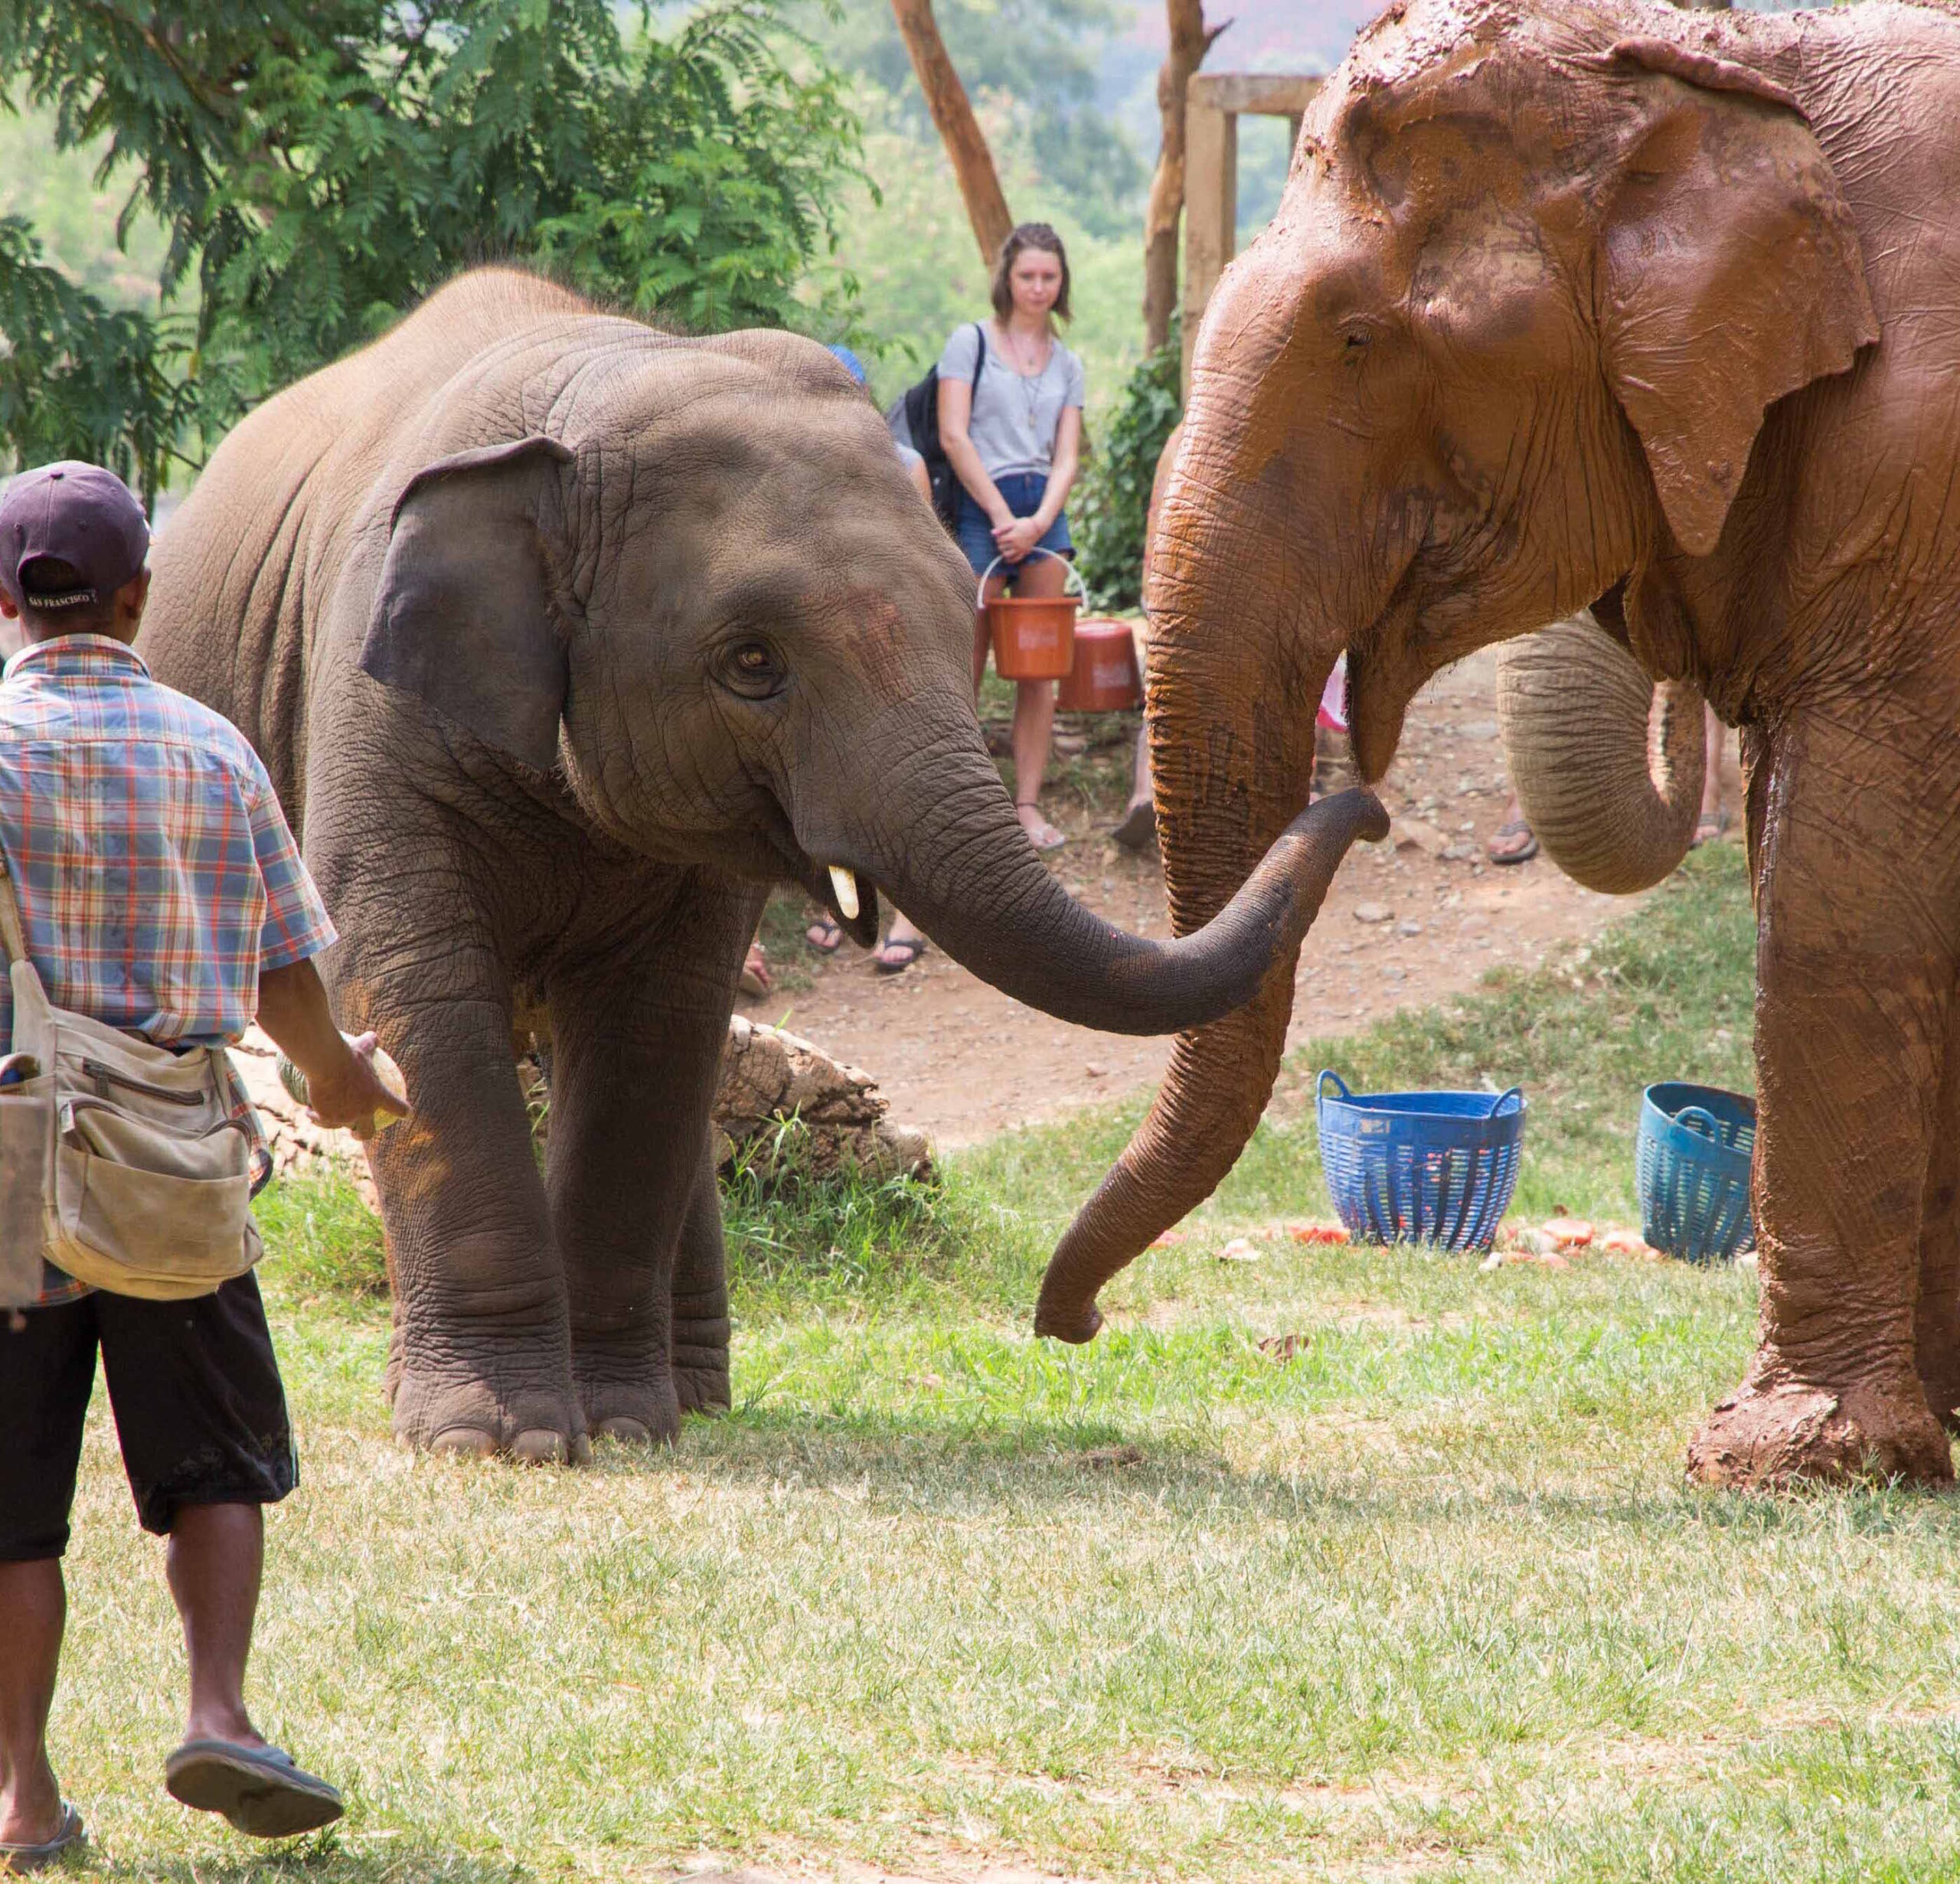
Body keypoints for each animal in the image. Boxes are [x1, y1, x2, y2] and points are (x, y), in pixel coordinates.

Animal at [138, 268, 1387, 1462]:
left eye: (972, 627)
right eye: (749, 663)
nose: (1369, 806)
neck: (581, 398)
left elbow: (656, 1027)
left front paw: (623, 1426)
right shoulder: (369, 705)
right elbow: (416, 1002)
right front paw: (504, 1441)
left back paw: (690, 1397)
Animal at [1033, 0, 1960, 1489]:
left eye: (1360, 340)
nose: (1077, 1329)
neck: (1740, 69)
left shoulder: (1914, 482)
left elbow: (1838, 892)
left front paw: (1789, 1459)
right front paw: (1906, 1437)